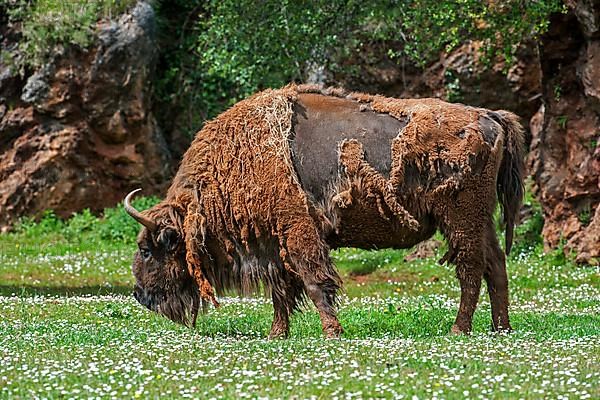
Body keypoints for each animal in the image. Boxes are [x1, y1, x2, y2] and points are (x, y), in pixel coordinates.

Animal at [124, 85, 524, 338]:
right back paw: (501, 328)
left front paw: (332, 332)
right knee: (496, 264)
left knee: (471, 268)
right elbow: (282, 293)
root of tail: (489, 115)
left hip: (459, 219)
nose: (141, 296)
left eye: (148, 249)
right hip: (481, 220)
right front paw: (276, 335)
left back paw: (459, 329)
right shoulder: (275, 246)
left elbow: (315, 283)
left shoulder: (298, 233)